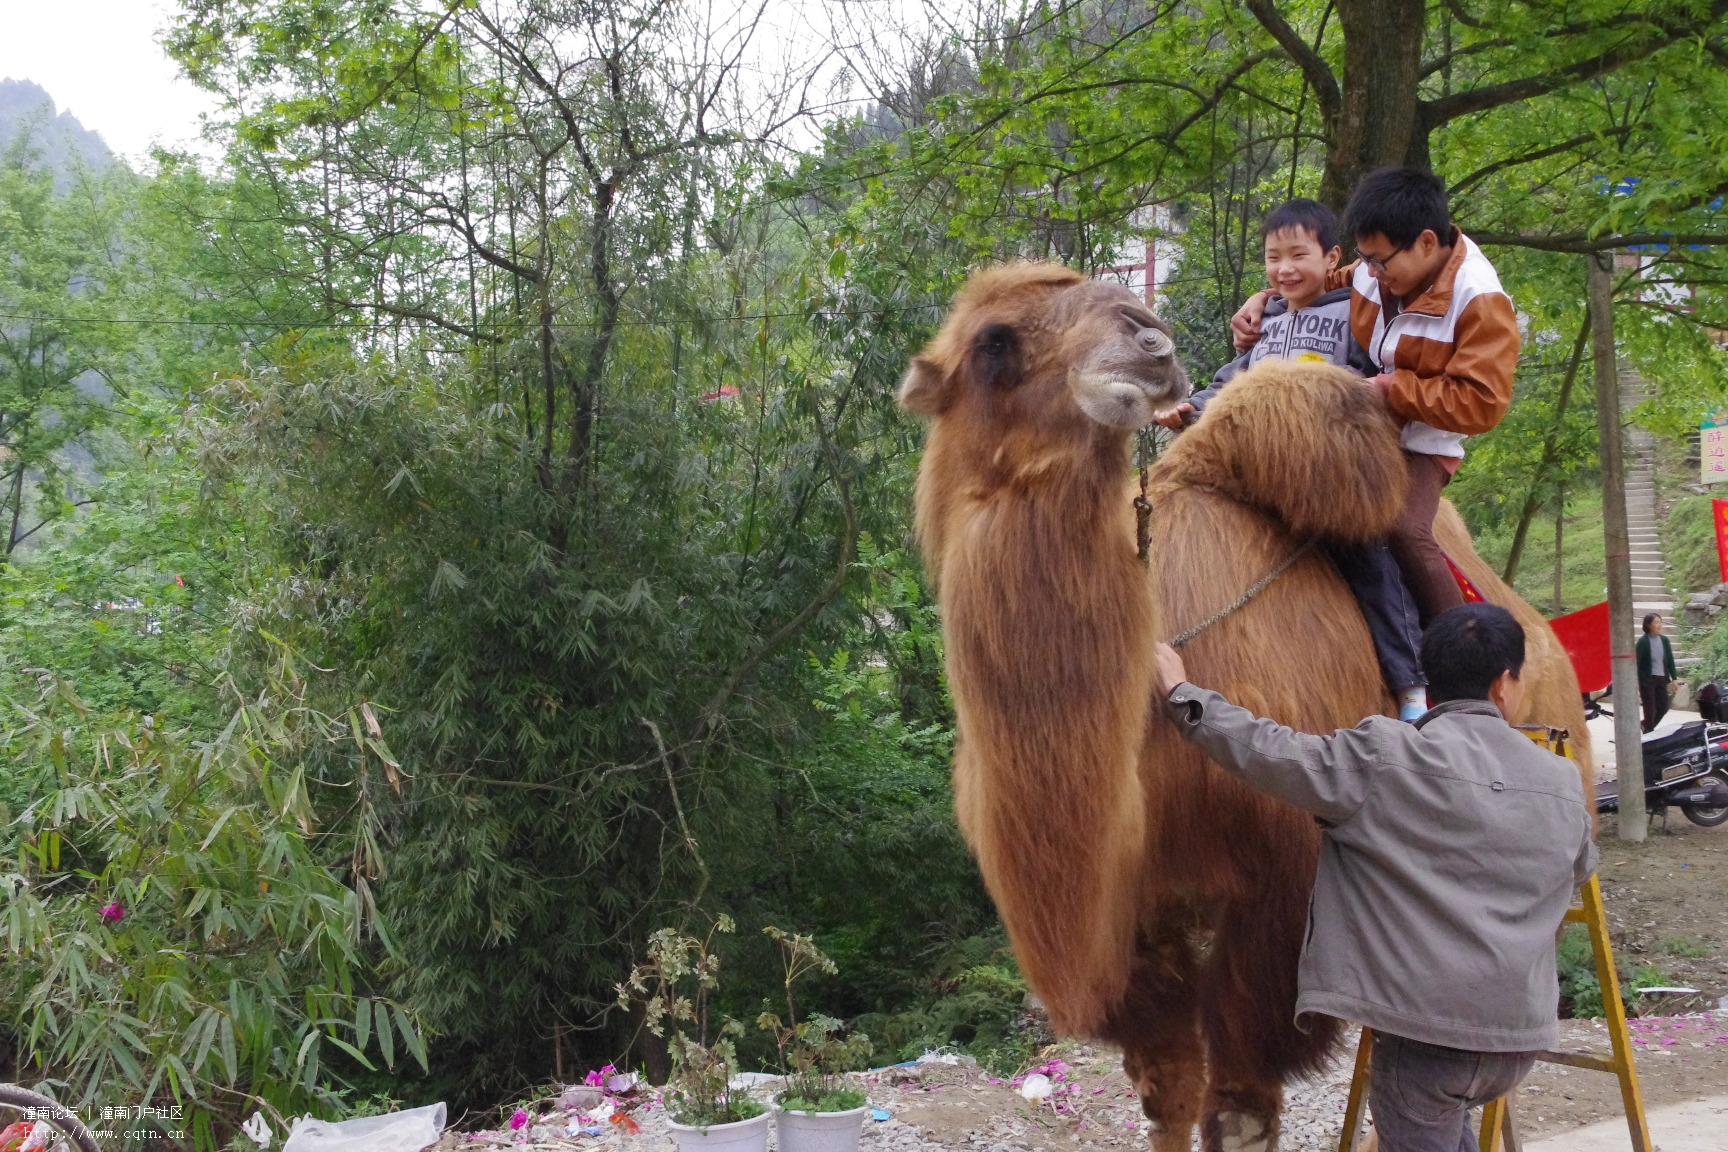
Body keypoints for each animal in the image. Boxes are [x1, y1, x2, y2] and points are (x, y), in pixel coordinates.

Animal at [905, 264, 1589, 1152]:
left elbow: (1236, 1111)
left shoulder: (1276, 913)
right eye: (993, 342)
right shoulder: (1139, 940)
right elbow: (1166, 1099)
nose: (1149, 340)